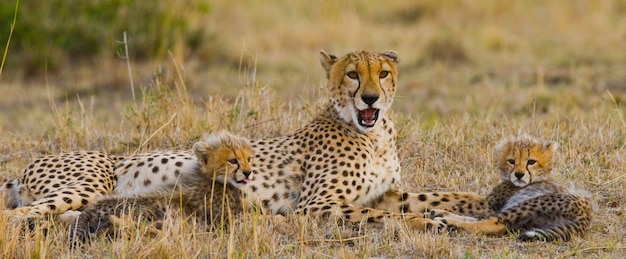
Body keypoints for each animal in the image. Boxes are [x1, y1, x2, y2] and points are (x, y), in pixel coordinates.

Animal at [111, 49, 482, 233]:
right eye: (353, 74)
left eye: (383, 74)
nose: (370, 98)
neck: (373, 135)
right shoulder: (317, 205)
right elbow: (387, 215)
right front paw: (432, 222)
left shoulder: (385, 194)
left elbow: (440, 196)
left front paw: (480, 204)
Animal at [424, 135, 588, 243]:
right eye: (511, 161)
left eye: (531, 161)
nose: (519, 174)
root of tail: (588, 212)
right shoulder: (490, 205)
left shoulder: (488, 204)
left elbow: (461, 204)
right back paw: (440, 215)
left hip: (528, 205)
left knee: (495, 224)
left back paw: (447, 221)